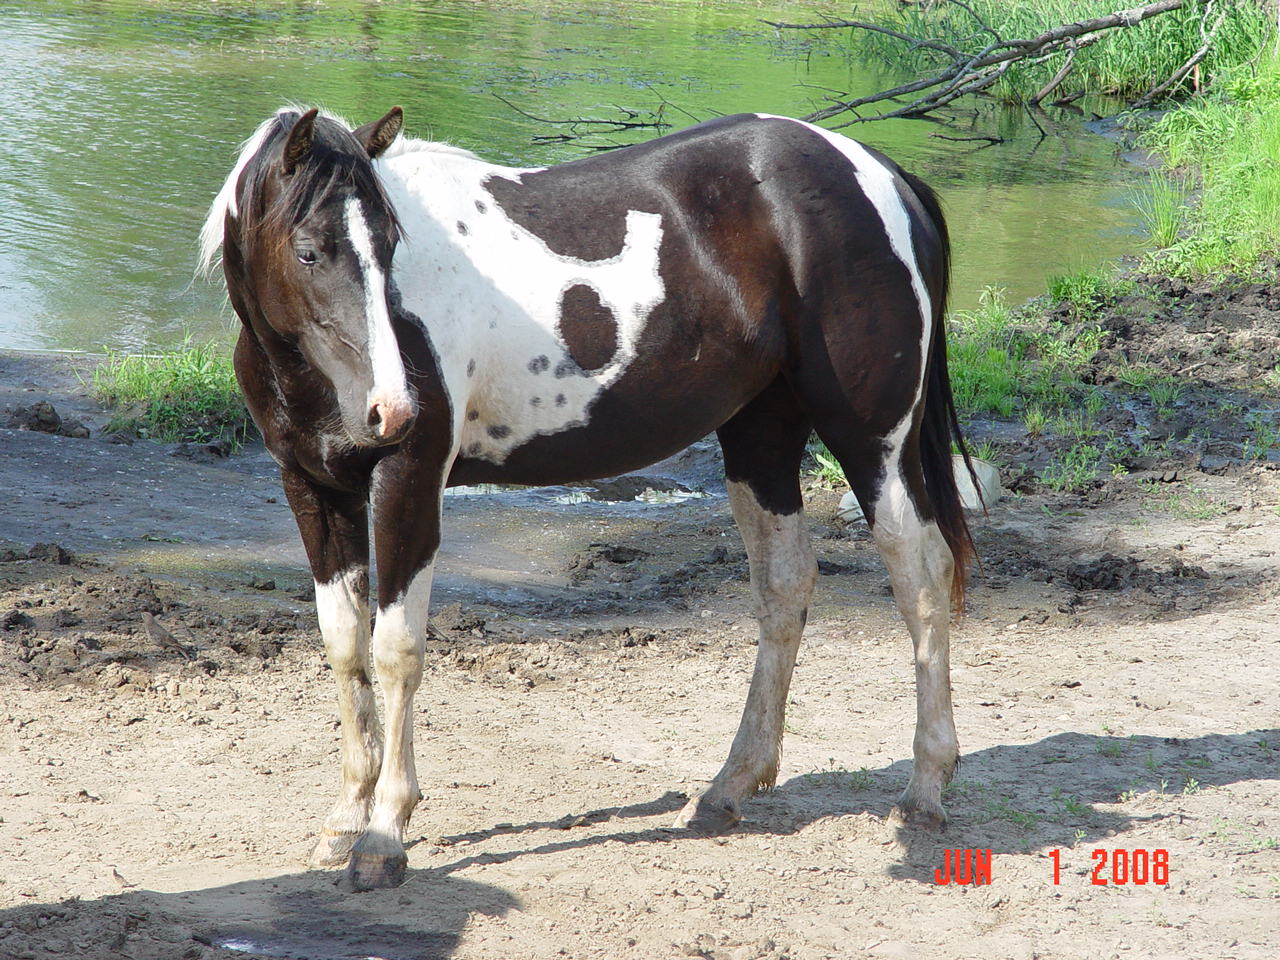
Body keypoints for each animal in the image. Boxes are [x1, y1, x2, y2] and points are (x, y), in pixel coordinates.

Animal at [199, 106, 972, 896]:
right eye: (309, 251)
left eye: (390, 246)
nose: (392, 409)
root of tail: (880, 173)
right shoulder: (314, 490)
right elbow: (345, 647)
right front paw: (345, 818)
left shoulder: (408, 480)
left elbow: (397, 651)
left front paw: (384, 835)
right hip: (760, 439)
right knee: (786, 586)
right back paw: (728, 787)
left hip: (873, 442)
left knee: (921, 575)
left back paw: (924, 790)